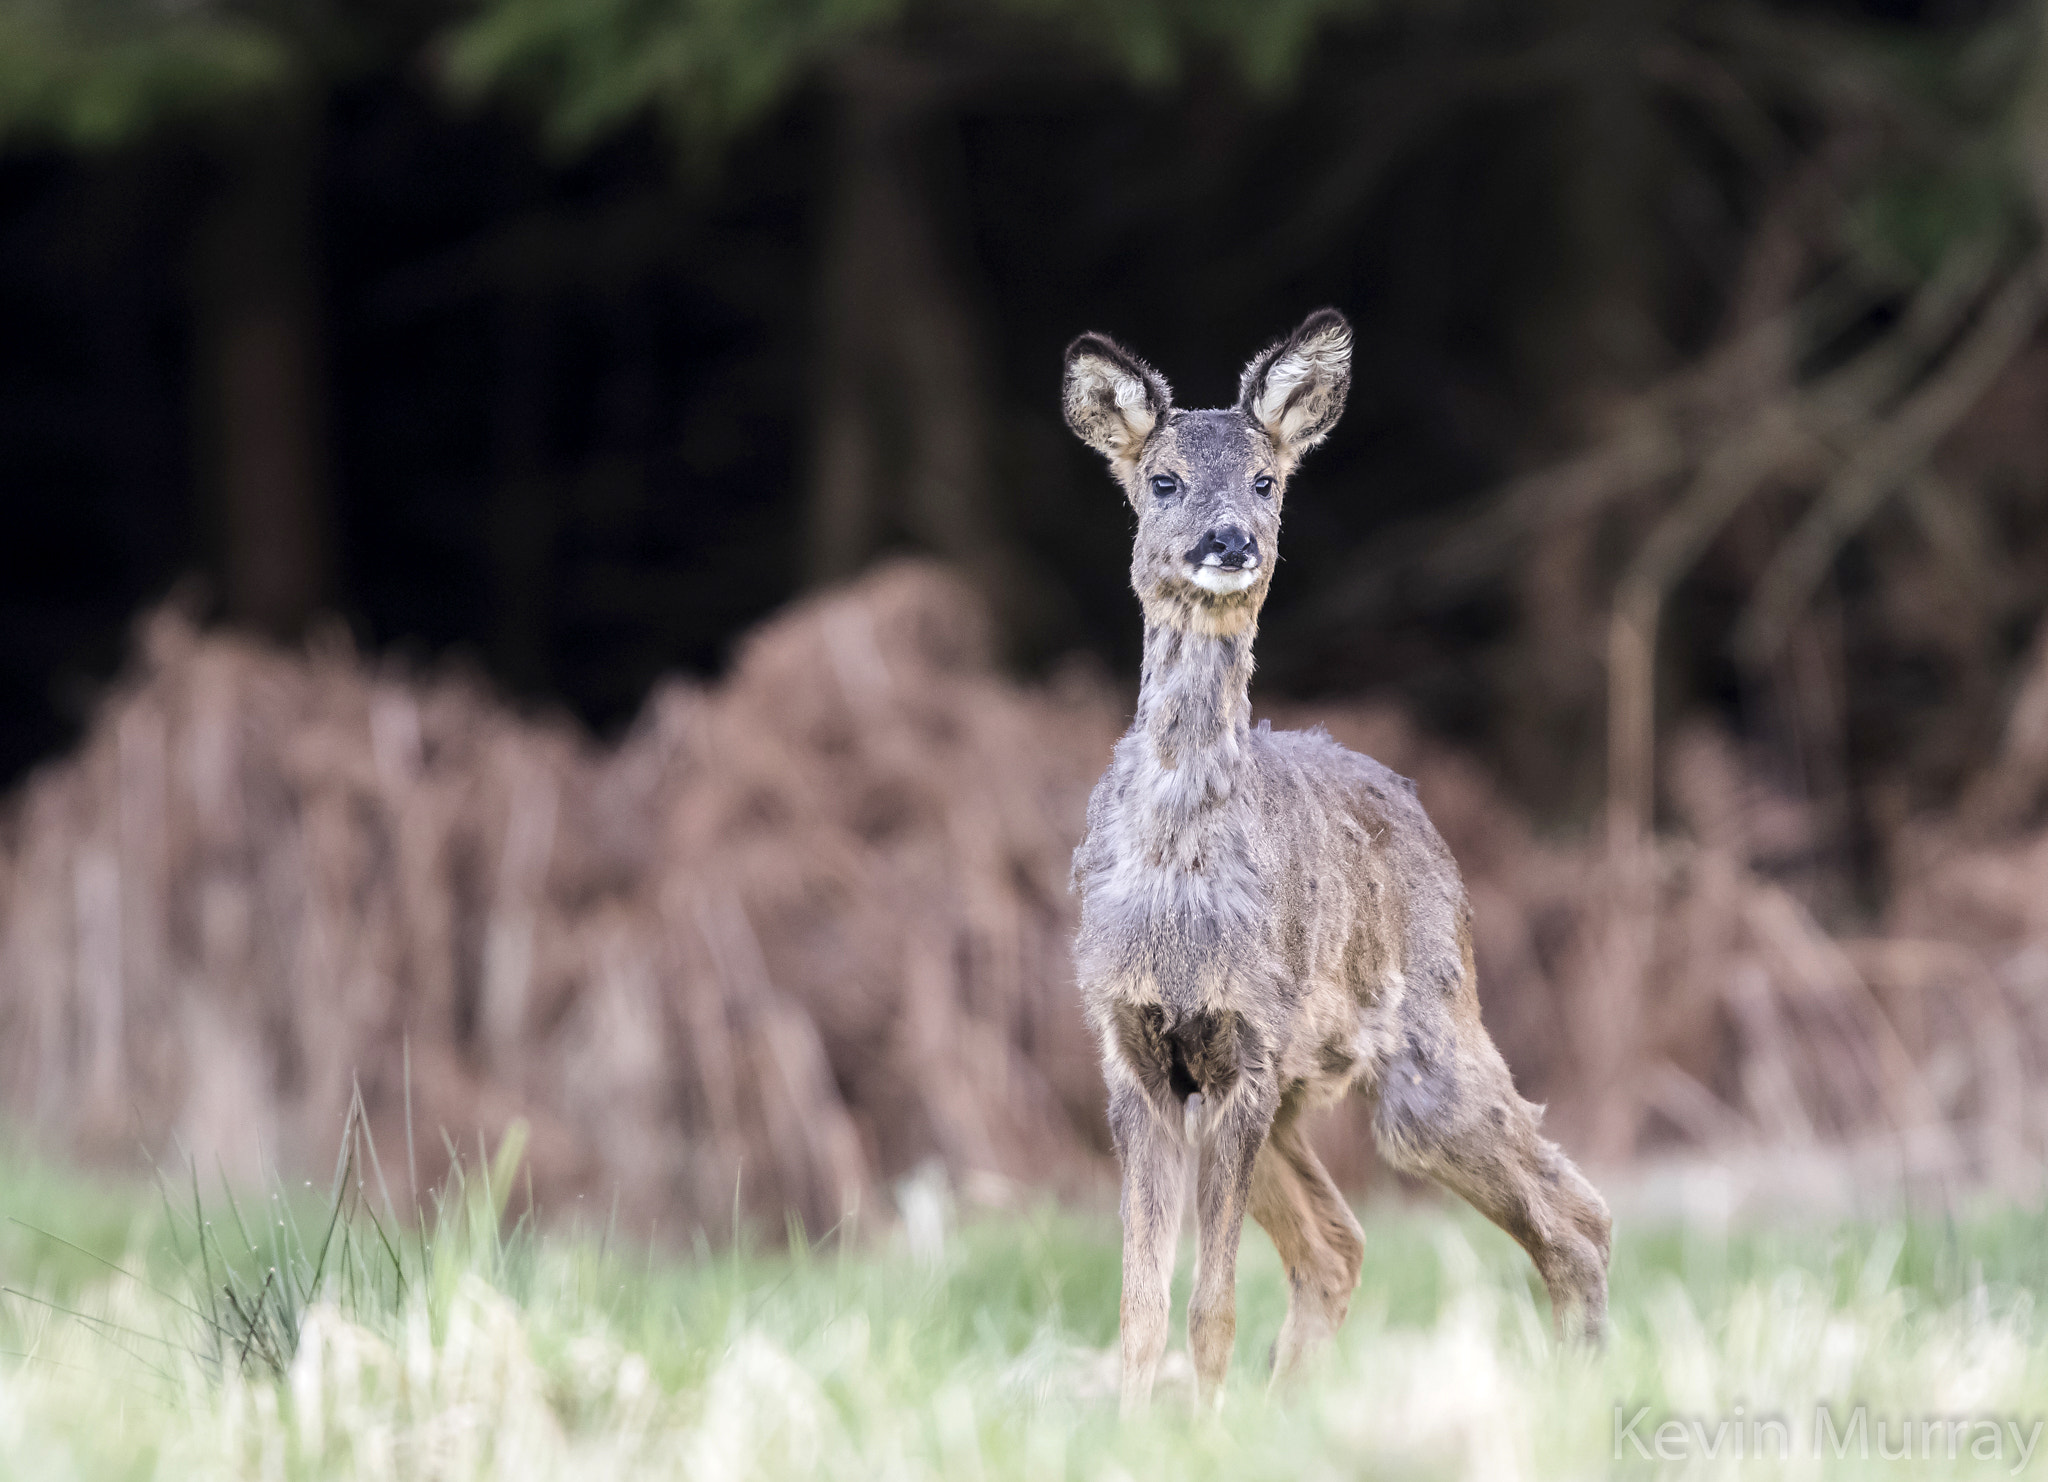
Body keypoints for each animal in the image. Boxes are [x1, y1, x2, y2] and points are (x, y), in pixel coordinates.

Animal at [1064, 302, 1605, 1416]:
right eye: (1162, 480)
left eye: (1268, 479)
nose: (1229, 540)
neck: (1180, 891)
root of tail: (1418, 808)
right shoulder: (1133, 1051)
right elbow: (1141, 1303)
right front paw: (1142, 1424)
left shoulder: (1246, 1045)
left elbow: (1209, 1305)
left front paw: (1195, 1424)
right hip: (1298, 1093)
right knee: (1339, 1244)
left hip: (1424, 1047)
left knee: (1577, 1212)